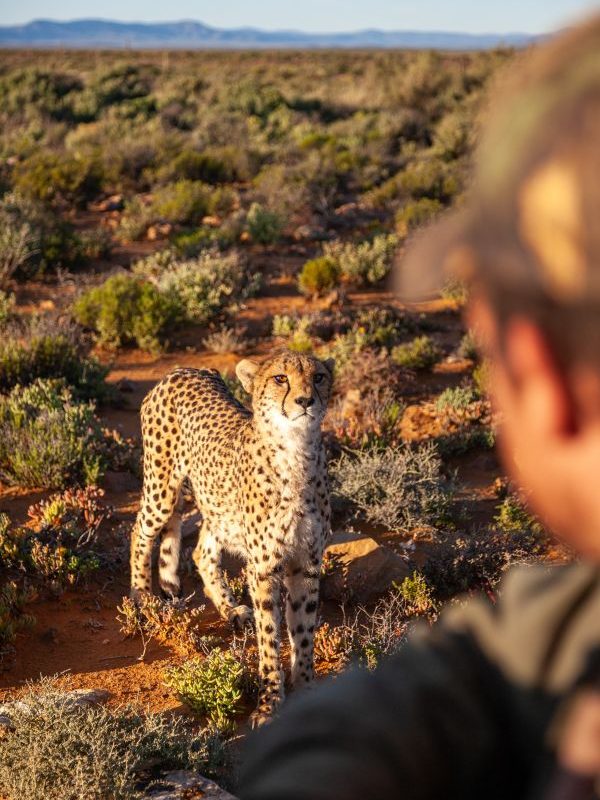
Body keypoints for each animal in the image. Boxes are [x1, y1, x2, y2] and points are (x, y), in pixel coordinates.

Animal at [130, 350, 332, 724]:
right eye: (280, 378)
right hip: (162, 488)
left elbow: (303, 632)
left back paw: (230, 609)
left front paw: (306, 688)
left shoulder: (307, 563)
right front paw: (270, 701)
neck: (296, 451)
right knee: (140, 530)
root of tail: (185, 369)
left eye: (319, 377)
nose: (305, 400)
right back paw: (143, 598)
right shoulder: (264, 567)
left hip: (217, 507)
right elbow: (270, 636)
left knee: (201, 552)